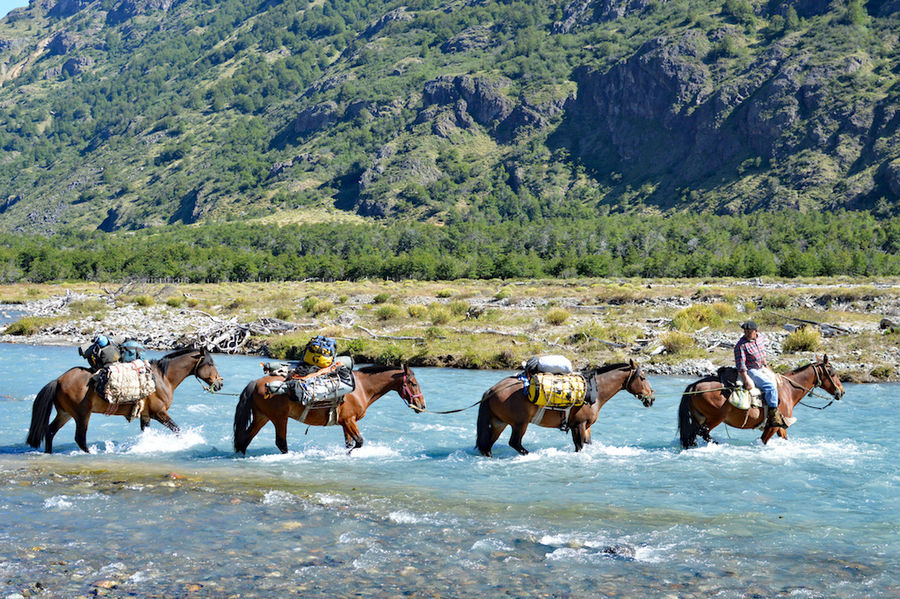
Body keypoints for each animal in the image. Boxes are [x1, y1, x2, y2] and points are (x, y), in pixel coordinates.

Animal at [26, 346, 223, 454]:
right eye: (210, 364)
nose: (219, 383)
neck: (163, 378)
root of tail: (58, 380)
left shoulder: (146, 415)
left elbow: (146, 434)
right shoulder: (159, 413)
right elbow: (177, 430)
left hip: (65, 414)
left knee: (50, 431)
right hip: (82, 415)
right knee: (80, 438)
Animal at [236, 360, 426, 454]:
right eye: (413, 383)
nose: (422, 405)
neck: (361, 388)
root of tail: (256, 382)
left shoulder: (345, 423)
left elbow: (350, 443)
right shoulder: (349, 421)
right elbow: (359, 442)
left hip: (262, 417)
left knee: (245, 438)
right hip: (279, 419)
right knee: (281, 443)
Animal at [478, 364, 652, 458]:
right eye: (642, 378)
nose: (651, 397)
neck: (594, 391)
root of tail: (492, 390)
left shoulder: (585, 427)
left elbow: (586, 444)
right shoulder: (579, 425)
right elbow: (579, 446)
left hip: (499, 423)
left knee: (488, 446)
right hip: (520, 424)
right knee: (514, 442)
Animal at [680, 354, 848, 448]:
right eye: (833, 373)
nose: (842, 392)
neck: (788, 389)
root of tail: (694, 386)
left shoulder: (780, 426)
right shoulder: (772, 426)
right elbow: (763, 441)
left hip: (699, 418)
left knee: (693, 436)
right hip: (715, 418)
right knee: (703, 433)